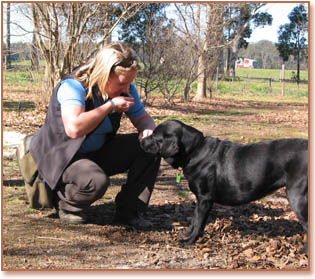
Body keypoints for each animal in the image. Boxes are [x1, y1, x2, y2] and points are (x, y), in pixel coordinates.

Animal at [141, 120, 308, 254]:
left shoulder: (205, 198)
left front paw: (189, 241)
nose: (141, 140)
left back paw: (303, 251)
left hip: (297, 197)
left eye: (155, 137)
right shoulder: (201, 199)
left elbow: (199, 221)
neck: (195, 151)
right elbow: (195, 219)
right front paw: (187, 234)